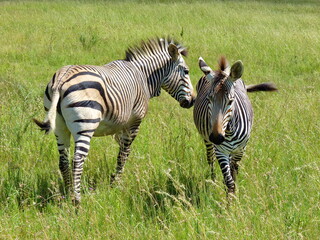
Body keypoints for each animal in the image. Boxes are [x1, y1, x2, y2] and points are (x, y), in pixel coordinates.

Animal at [33, 37, 196, 204]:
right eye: (186, 71)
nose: (192, 101)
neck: (143, 77)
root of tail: (62, 77)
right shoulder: (134, 123)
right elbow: (124, 154)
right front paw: (117, 183)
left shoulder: (121, 126)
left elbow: (121, 151)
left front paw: (113, 180)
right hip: (85, 124)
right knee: (77, 161)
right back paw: (77, 200)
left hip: (60, 127)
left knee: (64, 161)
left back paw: (67, 194)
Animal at [192, 57, 278, 196]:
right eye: (209, 99)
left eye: (231, 101)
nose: (216, 137)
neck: (229, 131)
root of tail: (223, 70)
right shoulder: (221, 151)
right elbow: (229, 182)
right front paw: (229, 200)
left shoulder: (240, 150)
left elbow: (234, 175)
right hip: (207, 141)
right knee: (210, 159)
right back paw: (213, 181)